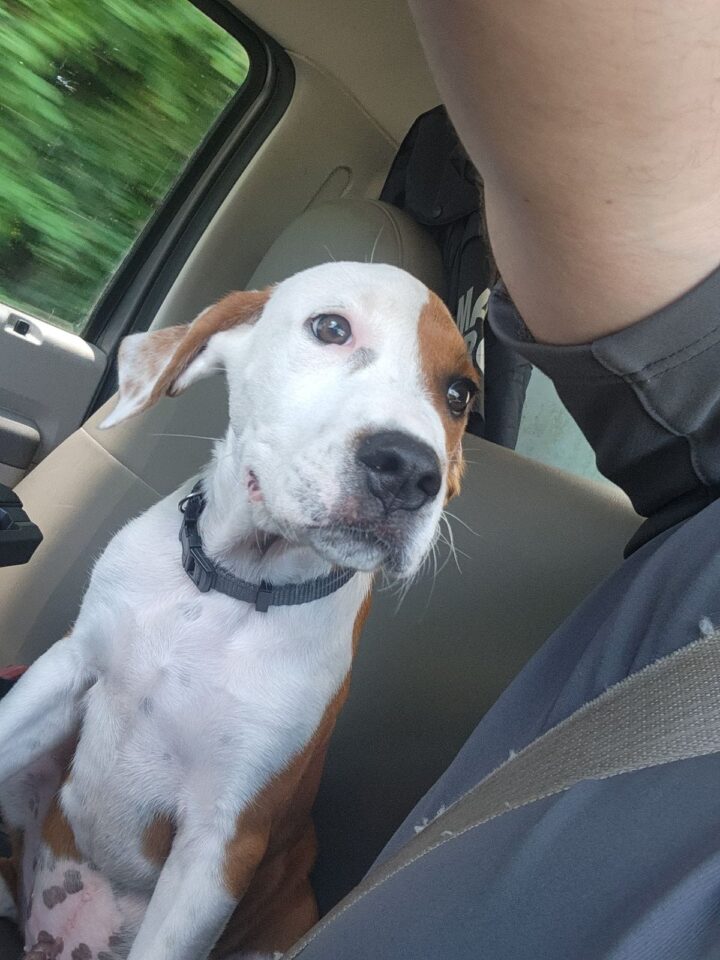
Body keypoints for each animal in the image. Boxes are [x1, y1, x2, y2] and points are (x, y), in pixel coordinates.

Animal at [0, 262, 478, 960]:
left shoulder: (223, 843)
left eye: (461, 394)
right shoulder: (64, 668)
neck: (228, 587)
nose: (410, 470)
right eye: (330, 328)